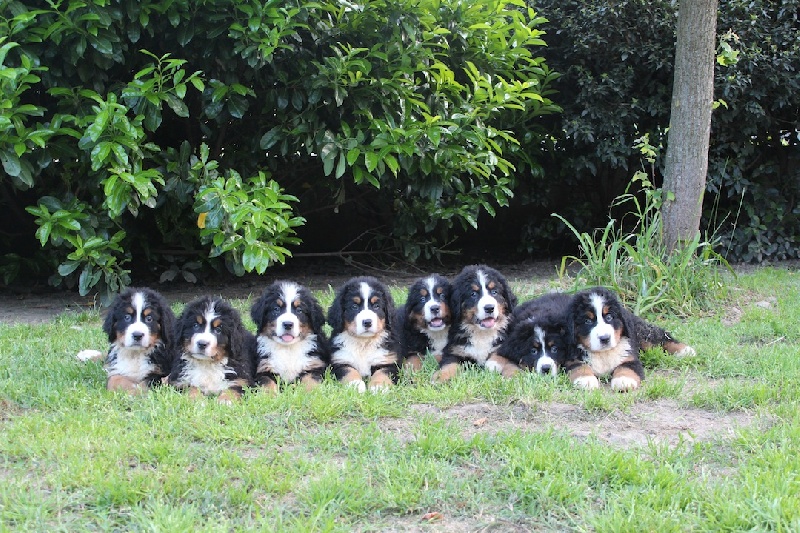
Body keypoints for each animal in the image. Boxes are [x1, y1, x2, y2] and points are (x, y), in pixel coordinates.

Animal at [564, 286, 692, 390]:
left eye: (609, 317)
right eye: (587, 321)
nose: (605, 338)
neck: (603, 354)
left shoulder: (629, 358)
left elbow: (626, 368)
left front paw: (623, 381)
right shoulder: (572, 360)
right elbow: (580, 367)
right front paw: (586, 380)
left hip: (641, 332)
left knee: (662, 338)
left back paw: (685, 350)